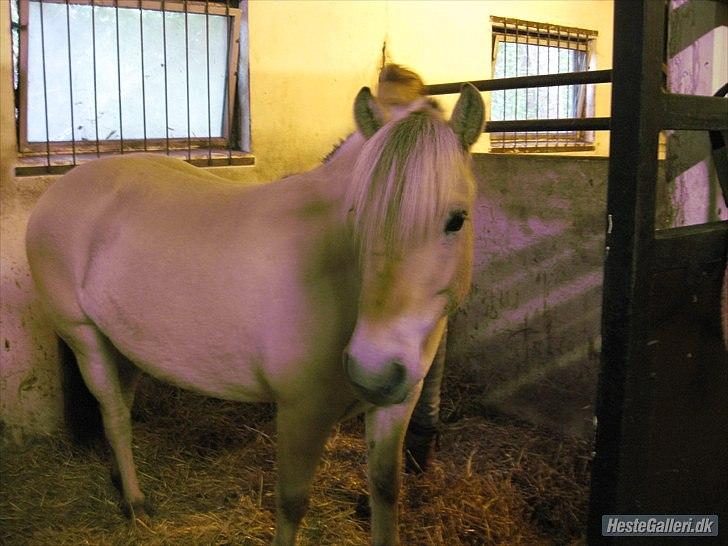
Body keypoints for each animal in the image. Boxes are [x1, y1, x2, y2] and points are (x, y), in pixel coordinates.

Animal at [25, 80, 485, 546]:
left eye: (457, 220)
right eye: (357, 218)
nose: (373, 370)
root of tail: (62, 187)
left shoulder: (395, 407)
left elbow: (386, 491)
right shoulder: (301, 411)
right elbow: (291, 503)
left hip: (123, 344)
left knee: (119, 403)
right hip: (85, 339)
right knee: (115, 414)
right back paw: (135, 502)